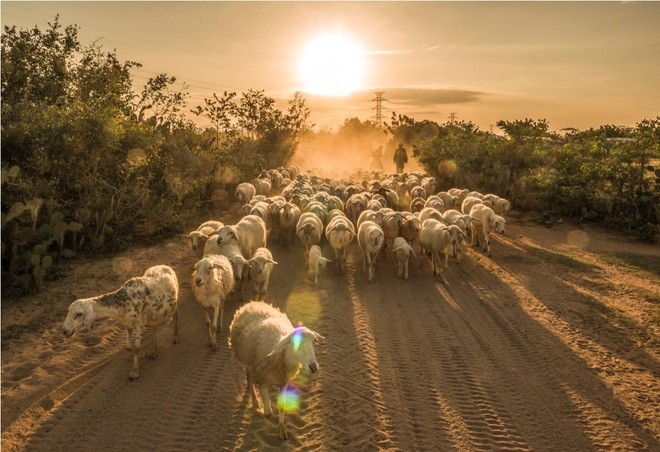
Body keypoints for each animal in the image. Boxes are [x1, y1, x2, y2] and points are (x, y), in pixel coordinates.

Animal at [228, 302, 326, 440]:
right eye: (294, 343)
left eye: (315, 341)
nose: (314, 367)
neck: (282, 355)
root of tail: (252, 303)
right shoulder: (262, 378)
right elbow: (268, 413)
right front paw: (266, 410)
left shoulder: (283, 381)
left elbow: (282, 407)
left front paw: (281, 430)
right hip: (248, 362)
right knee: (250, 379)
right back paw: (255, 402)